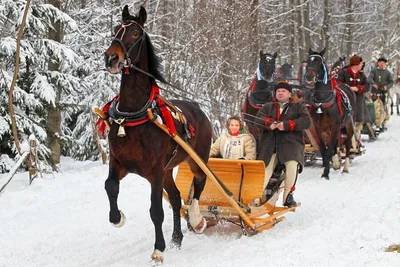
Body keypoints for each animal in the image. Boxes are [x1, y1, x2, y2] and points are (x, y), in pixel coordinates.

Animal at [103, 6, 212, 264]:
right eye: (116, 29)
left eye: (135, 33)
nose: (111, 58)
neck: (134, 114)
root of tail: (198, 108)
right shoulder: (119, 162)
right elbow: (110, 186)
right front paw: (117, 218)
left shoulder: (154, 172)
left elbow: (155, 211)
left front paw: (158, 249)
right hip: (168, 170)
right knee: (175, 196)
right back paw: (177, 238)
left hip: (196, 159)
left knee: (199, 183)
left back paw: (196, 219)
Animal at [304, 48, 358, 180]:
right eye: (308, 60)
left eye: (319, 61)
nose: (309, 76)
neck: (322, 100)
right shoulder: (319, 128)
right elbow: (324, 149)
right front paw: (325, 168)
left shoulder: (334, 126)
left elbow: (329, 150)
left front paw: (326, 173)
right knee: (335, 144)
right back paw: (336, 163)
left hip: (348, 124)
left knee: (347, 144)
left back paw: (345, 168)